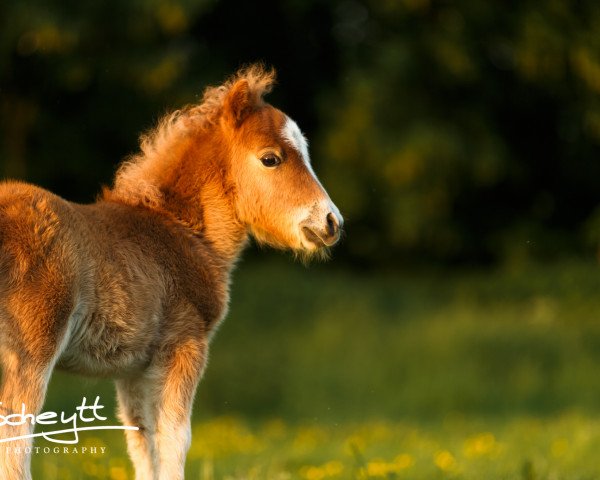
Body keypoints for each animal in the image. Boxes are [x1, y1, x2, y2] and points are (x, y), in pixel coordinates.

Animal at [0, 64, 340, 480]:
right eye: (271, 158)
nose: (331, 222)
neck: (179, 230)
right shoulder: (184, 345)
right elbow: (175, 439)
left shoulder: (133, 368)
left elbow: (141, 440)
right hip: (31, 348)